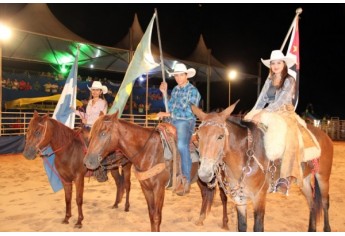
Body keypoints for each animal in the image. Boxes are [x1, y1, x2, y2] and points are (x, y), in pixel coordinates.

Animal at [82, 112, 228, 230]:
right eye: (91, 133)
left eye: (103, 133)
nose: (88, 161)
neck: (148, 151)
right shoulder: (146, 188)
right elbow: (151, 215)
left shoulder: (159, 188)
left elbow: (157, 216)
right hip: (200, 179)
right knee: (205, 194)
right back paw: (201, 219)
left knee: (223, 197)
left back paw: (225, 224)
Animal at [192, 102, 332, 231]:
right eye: (198, 136)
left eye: (220, 136)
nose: (204, 173)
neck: (245, 158)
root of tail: (324, 135)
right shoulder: (240, 199)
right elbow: (242, 226)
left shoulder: (259, 197)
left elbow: (258, 227)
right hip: (304, 180)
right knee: (312, 203)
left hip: (323, 177)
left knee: (325, 203)